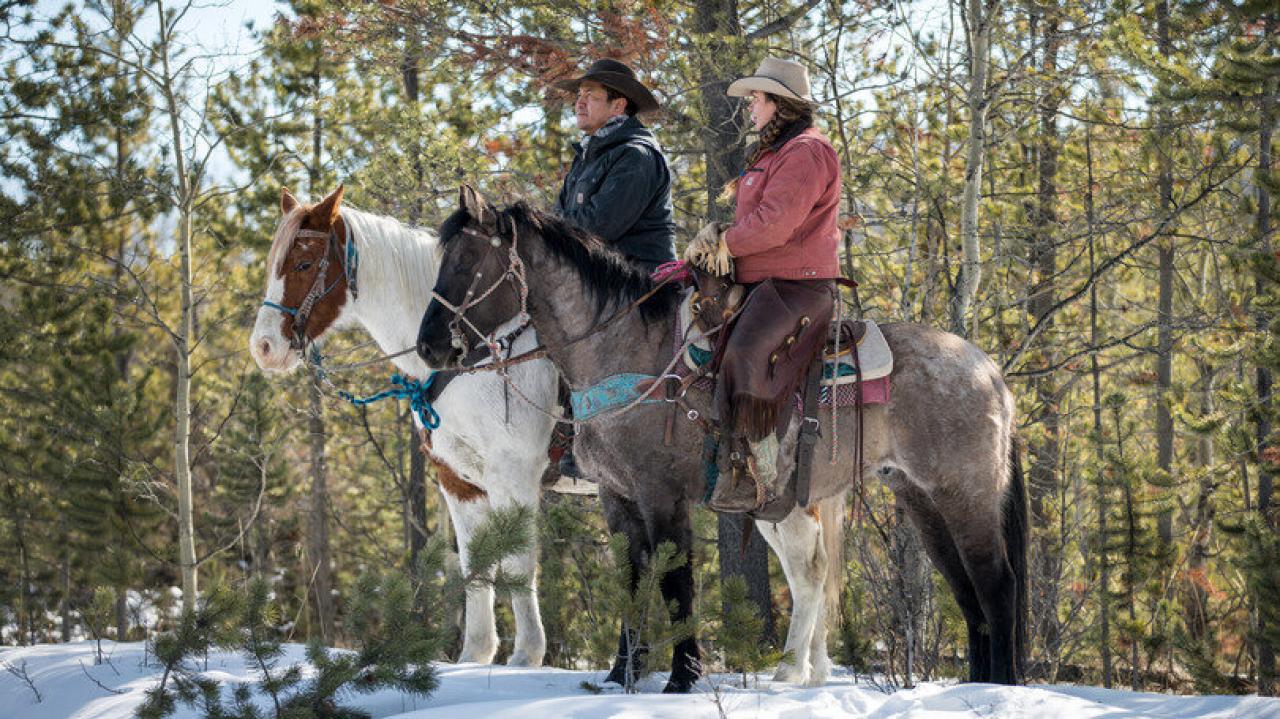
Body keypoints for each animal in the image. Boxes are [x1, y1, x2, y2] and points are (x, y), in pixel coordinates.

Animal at [247, 185, 558, 665]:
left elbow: (519, 562)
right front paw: (476, 655)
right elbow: (475, 562)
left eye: (302, 264)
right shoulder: (459, 480)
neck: (476, 355)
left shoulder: (515, 473)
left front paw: (526, 656)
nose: (263, 347)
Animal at [419, 188, 1029, 690]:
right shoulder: (616, 496)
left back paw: (995, 687)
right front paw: (622, 675)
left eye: (467, 262)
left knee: (995, 583)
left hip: (964, 494)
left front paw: (680, 678)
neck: (625, 349)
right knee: (962, 589)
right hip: (919, 498)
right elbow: (631, 581)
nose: (431, 346)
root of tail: (989, 370)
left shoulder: (659, 494)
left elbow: (675, 583)